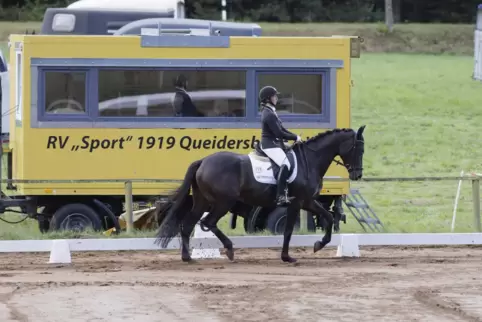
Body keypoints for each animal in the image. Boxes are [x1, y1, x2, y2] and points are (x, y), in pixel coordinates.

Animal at [154, 124, 366, 262]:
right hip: (223, 202)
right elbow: (288, 229)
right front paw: (287, 257)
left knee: (188, 224)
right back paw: (229, 250)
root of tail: (203, 161)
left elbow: (328, 218)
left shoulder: (307, 201)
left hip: (202, 201)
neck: (310, 160)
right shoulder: (297, 202)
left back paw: (187, 258)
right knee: (208, 222)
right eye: (358, 149)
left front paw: (318, 245)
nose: (357, 174)